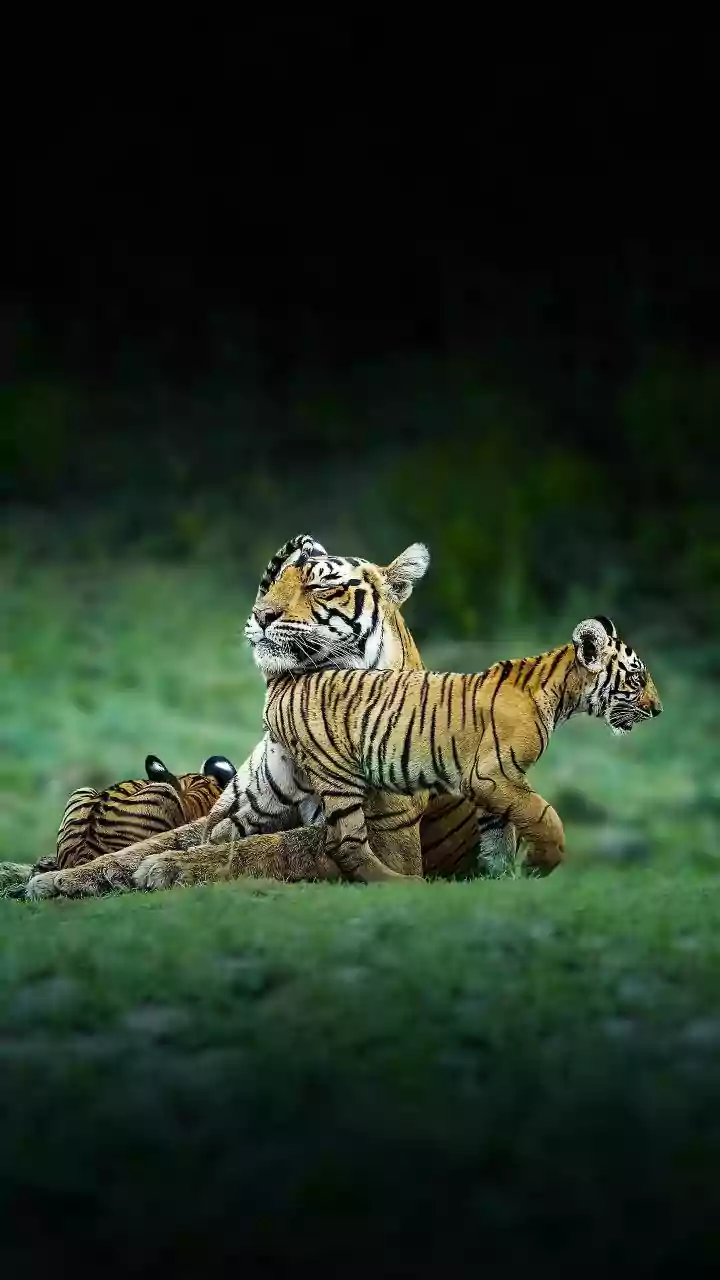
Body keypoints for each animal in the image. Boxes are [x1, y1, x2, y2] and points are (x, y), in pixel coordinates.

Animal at [24, 535, 516, 899]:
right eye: (275, 582)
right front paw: (63, 877)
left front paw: (167, 868)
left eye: (320, 586)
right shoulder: (226, 813)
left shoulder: (387, 844)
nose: (260, 615)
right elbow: (149, 843)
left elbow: (272, 846)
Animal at [261, 615, 663, 883]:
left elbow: (502, 833)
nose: (658, 709)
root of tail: (285, 681)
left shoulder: (498, 784)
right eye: (637, 678)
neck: (561, 696)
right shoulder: (491, 775)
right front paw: (538, 865)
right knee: (344, 842)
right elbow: (543, 815)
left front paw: (501, 879)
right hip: (338, 774)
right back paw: (400, 883)